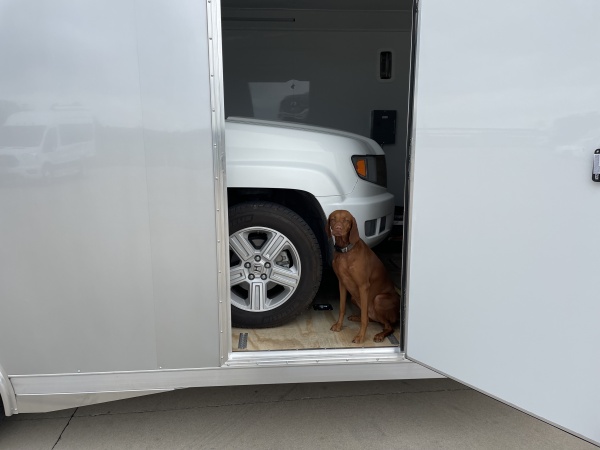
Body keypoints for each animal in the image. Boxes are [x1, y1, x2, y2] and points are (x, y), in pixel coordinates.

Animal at [326, 209, 400, 342]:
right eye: (333, 219)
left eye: (346, 220)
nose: (338, 228)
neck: (346, 251)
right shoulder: (342, 283)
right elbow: (342, 308)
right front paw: (339, 326)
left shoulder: (363, 286)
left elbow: (364, 319)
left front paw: (360, 336)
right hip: (354, 298)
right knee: (372, 318)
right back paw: (356, 317)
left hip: (378, 299)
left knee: (388, 326)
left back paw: (380, 335)